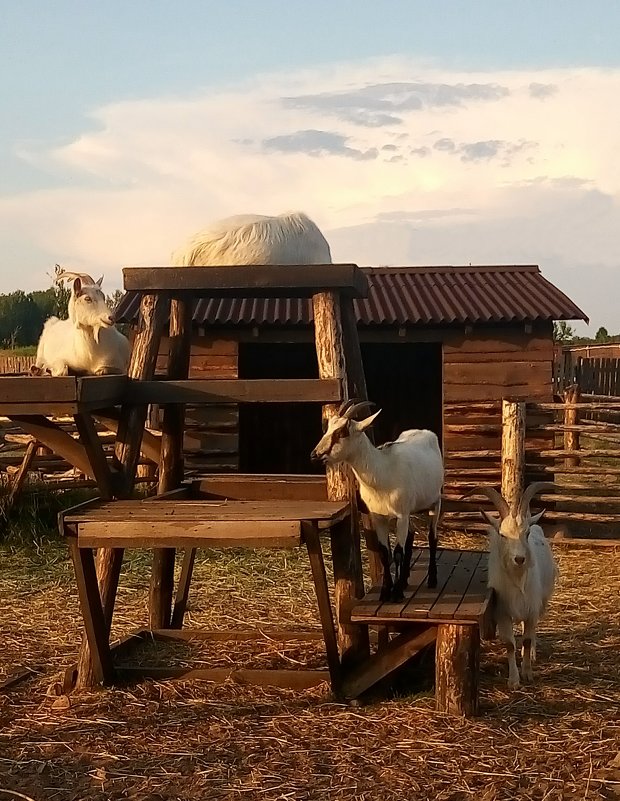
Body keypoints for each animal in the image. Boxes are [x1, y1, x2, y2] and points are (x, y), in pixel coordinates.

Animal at [312, 400, 444, 600]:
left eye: (341, 432)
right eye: (328, 427)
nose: (314, 454)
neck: (383, 471)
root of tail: (424, 431)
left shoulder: (401, 515)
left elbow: (397, 553)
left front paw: (396, 593)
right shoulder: (379, 517)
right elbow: (384, 552)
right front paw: (385, 591)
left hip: (435, 502)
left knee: (432, 536)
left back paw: (432, 580)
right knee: (410, 536)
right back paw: (405, 580)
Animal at [468, 482, 560, 688]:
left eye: (526, 533)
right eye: (502, 535)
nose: (519, 559)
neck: (518, 582)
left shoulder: (531, 610)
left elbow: (526, 640)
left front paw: (527, 673)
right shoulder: (502, 613)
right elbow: (510, 644)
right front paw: (513, 680)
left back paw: (532, 655)